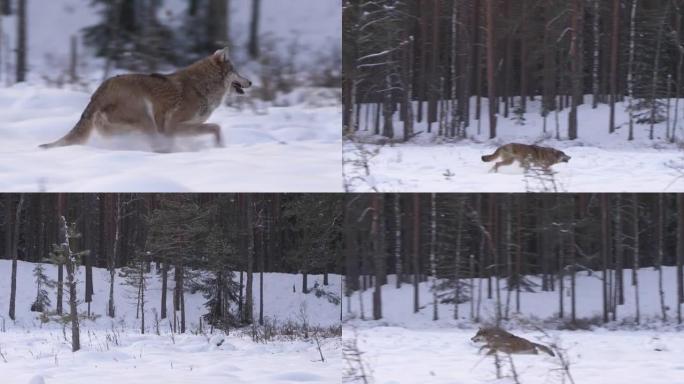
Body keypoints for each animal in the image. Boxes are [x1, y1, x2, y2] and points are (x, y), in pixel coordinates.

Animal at [38, 47, 251, 149]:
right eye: (237, 71)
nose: (250, 82)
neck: (203, 86)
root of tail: (98, 92)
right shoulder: (172, 126)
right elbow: (216, 127)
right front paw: (220, 147)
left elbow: (214, 128)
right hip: (147, 118)